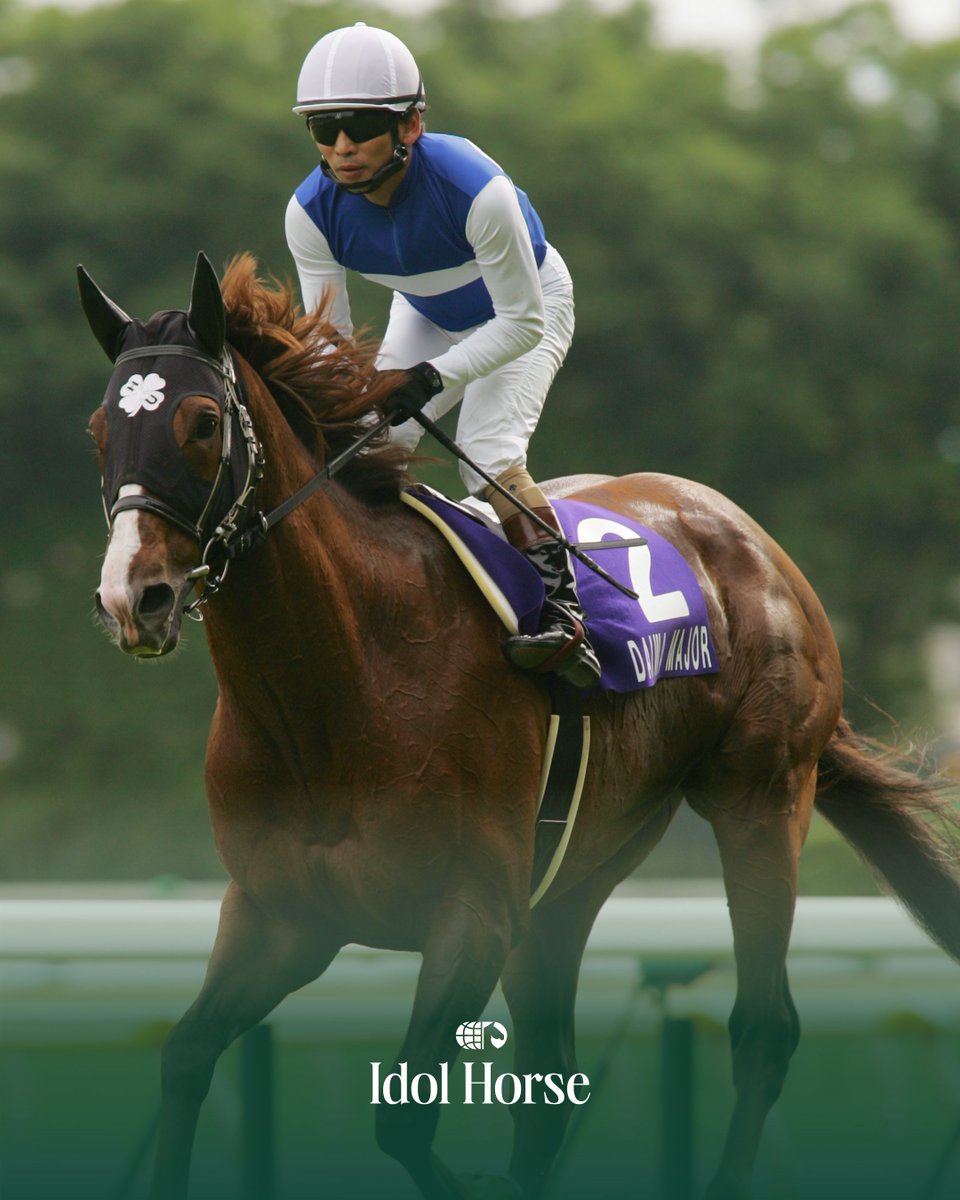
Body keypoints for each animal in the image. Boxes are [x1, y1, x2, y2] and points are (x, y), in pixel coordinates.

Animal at [81, 252, 960, 1200]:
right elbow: (185, 1056)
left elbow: (402, 1119)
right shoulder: (281, 913)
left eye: (203, 423)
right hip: (573, 882)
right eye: (100, 429)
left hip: (760, 797)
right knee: (551, 1080)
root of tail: (754, 540)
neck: (341, 681)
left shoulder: (474, 911)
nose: (134, 598)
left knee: (763, 1031)